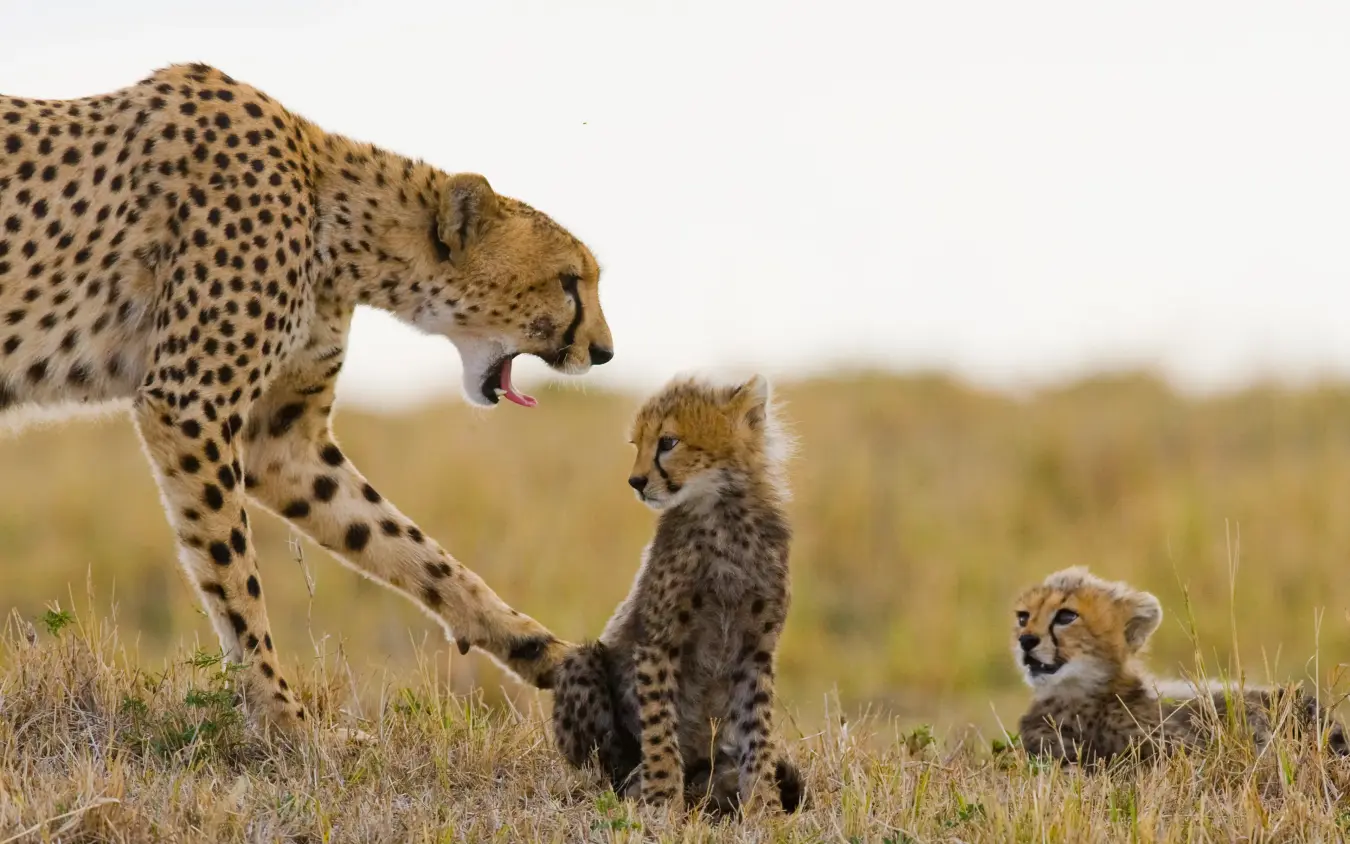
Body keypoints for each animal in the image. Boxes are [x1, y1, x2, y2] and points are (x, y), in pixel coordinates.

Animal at [0, 63, 615, 734]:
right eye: (568, 282)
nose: (605, 351)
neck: (333, 217)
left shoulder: (280, 441)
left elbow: (406, 545)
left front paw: (539, 649)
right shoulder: (190, 404)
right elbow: (235, 576)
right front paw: (281, 720)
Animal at [551, 374, 804, 816]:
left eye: (668, 441)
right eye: (636, 444)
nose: (635, 482)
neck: (722, 513)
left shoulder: (755, 649)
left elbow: (757, 730)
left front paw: (765, 806)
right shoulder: (659, 640)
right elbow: (659, 725)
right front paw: (661, 797)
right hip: (581, 666)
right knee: (608, 759)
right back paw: (633, 782)